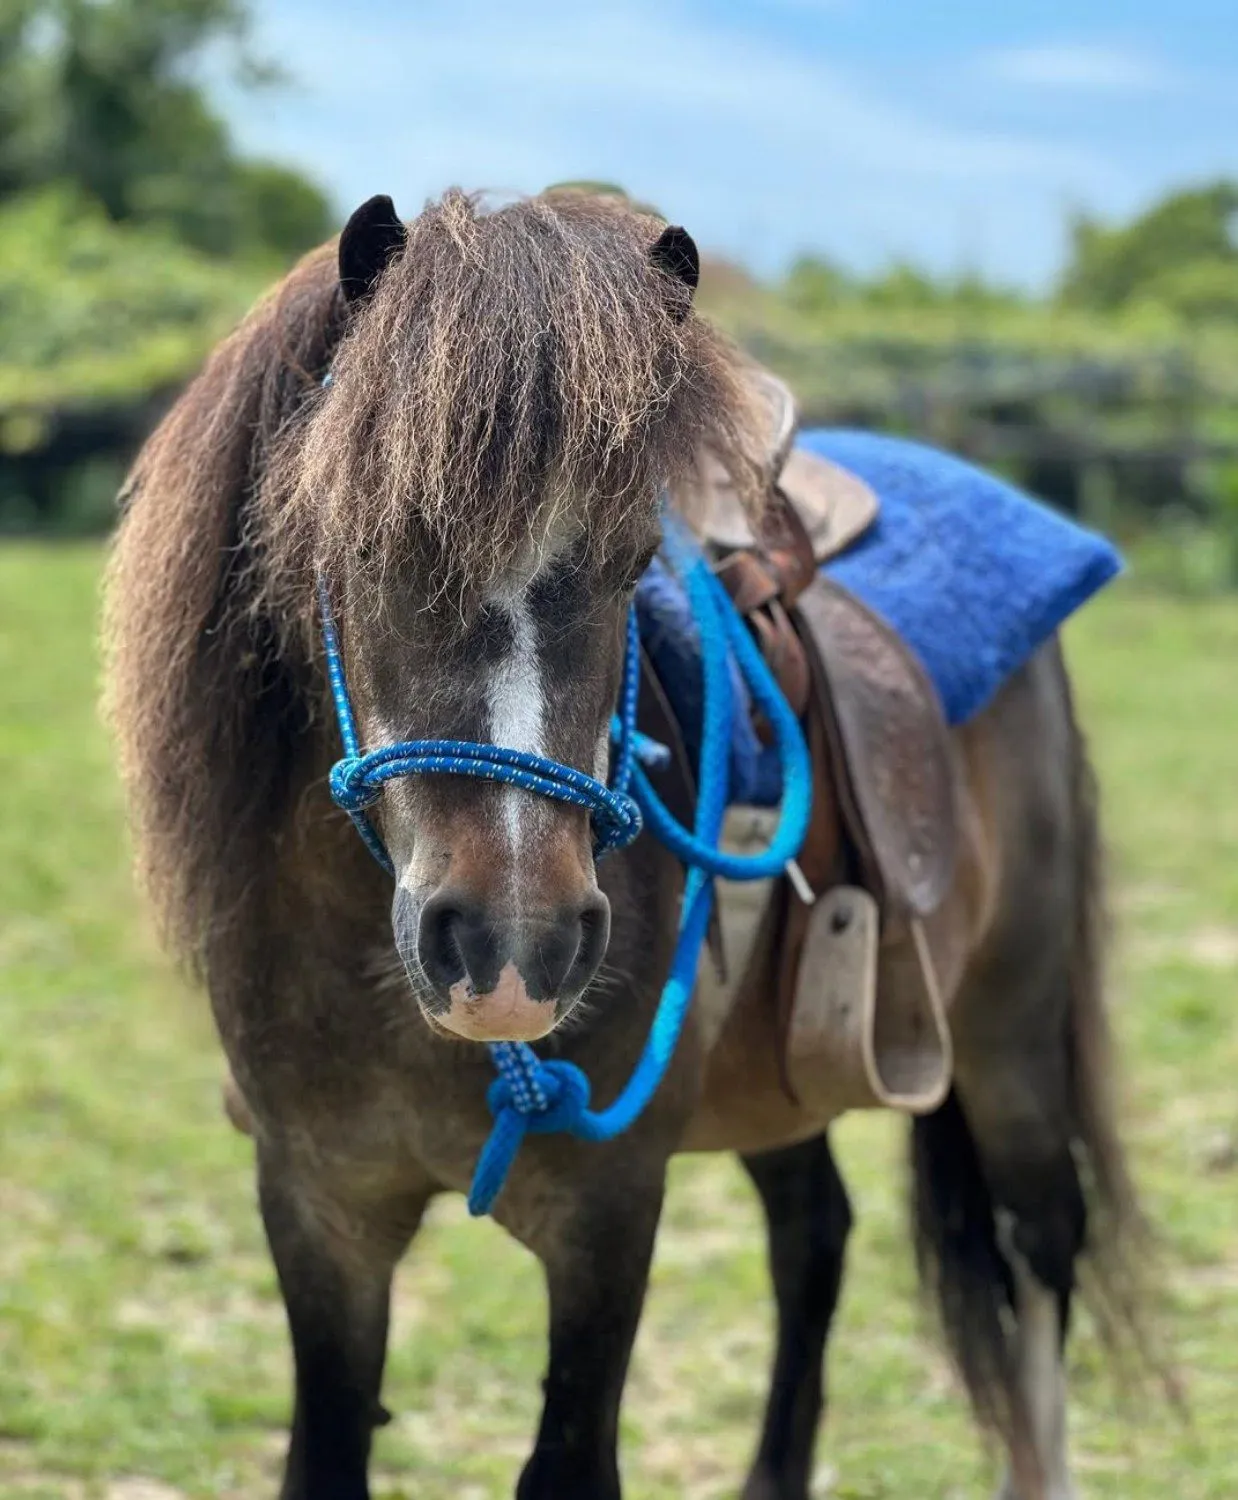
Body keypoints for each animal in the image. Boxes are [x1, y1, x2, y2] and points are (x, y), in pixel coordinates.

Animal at [103, 187, 1145, 1500]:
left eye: (629, 562)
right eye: (370, 540)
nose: (510, 944)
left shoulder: (606, 1215)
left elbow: (568, 1462)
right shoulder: (318, 1208)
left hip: (1009, 1037)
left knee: (1039, 1247)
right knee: (814, 1236)